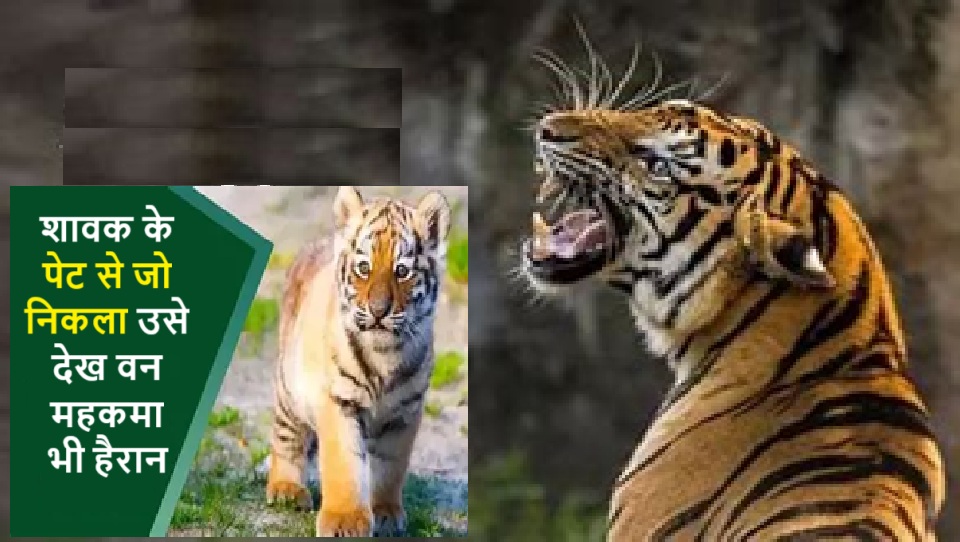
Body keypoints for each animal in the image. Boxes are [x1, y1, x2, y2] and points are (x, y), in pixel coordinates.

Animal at [266, 186, 450, 537]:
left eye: (402, 271)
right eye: (364, 267)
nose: (378, 311)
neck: (385, 355)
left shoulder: (404, 414)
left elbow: (390, 467)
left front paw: (385, 513)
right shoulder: (338, 402)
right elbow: (343, 464)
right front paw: (345, 520)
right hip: (288, 391)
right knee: (287, 438)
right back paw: (286, 489)